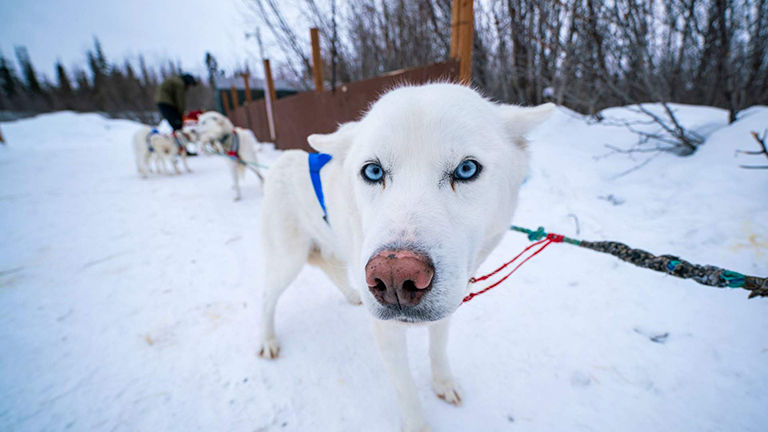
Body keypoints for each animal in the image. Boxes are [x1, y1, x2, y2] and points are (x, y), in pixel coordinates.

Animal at [258, 82, 552, 430]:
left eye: (466, 169)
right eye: (373, 171)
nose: (394, 277)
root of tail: (283, 161)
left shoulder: (448, 305)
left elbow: (438, 348)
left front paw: (443, 382)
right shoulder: (388, 331)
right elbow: (405, 386)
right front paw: (417, 423)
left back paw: (352, 295)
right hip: (286, 260)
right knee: (267, 297)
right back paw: (267, 339)